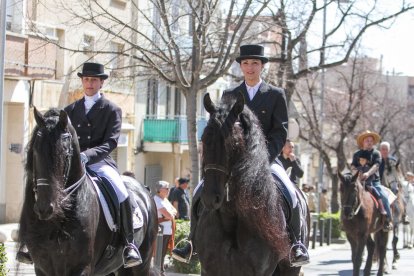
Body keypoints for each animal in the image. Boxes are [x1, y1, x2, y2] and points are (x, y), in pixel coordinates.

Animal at [17, 108, 158, 276]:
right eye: (36, 152)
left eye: (65, 153)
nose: (44, 208)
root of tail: (145, 190)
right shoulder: (42, 267)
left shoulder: (82, 267)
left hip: (142, 264)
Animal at [195, 94, 308, 274]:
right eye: (204, 138)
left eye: (234, 142)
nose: (211, 197)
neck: (231, 218)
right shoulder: (209, 270)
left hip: (291, 269)